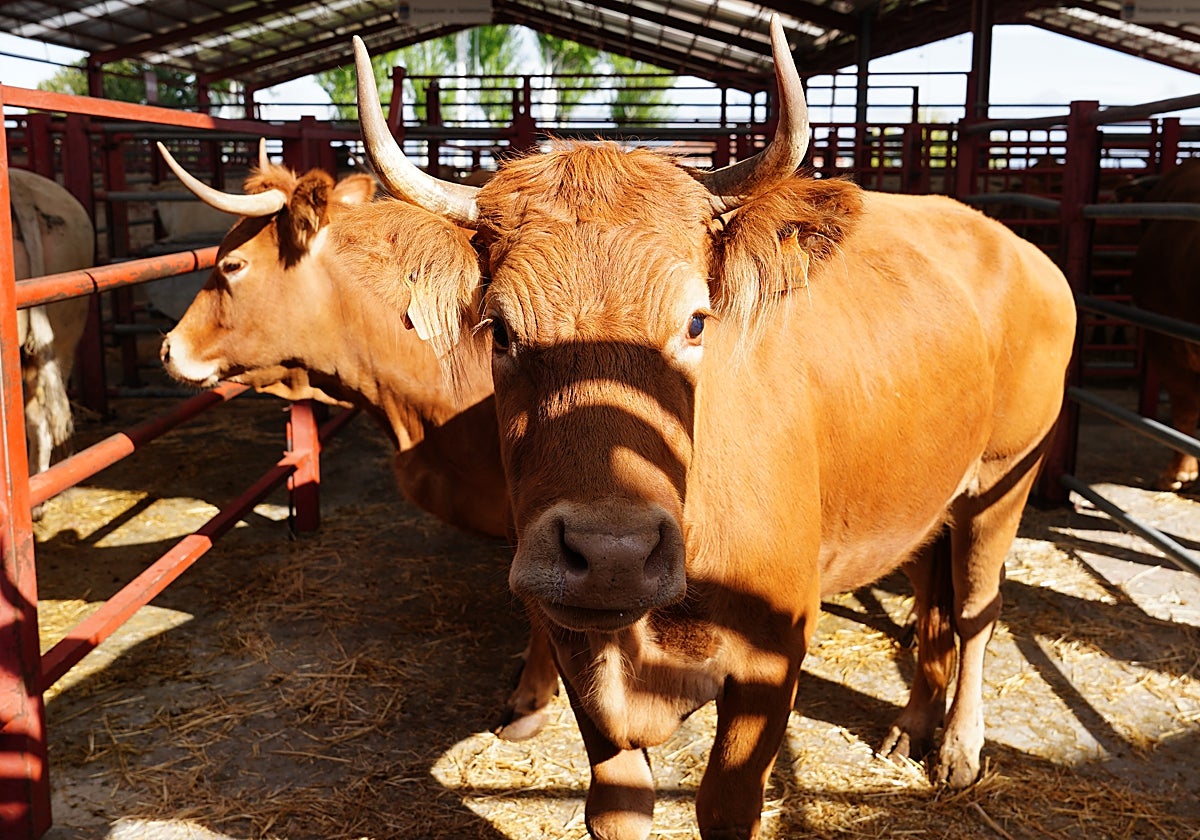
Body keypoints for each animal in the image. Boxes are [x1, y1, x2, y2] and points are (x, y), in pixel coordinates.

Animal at [351, 15, 1077, 840]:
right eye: (500, 330)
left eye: (696, 320)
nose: (612, 555)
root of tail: (1018, 248)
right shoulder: (576, 648)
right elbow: (617, 807)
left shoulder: (771, 660)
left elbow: (726, 806)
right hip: (928, 494)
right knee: (932, 596)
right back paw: (912, 725)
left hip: (1002, 482)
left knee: (978, 609)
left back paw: (957, 748)